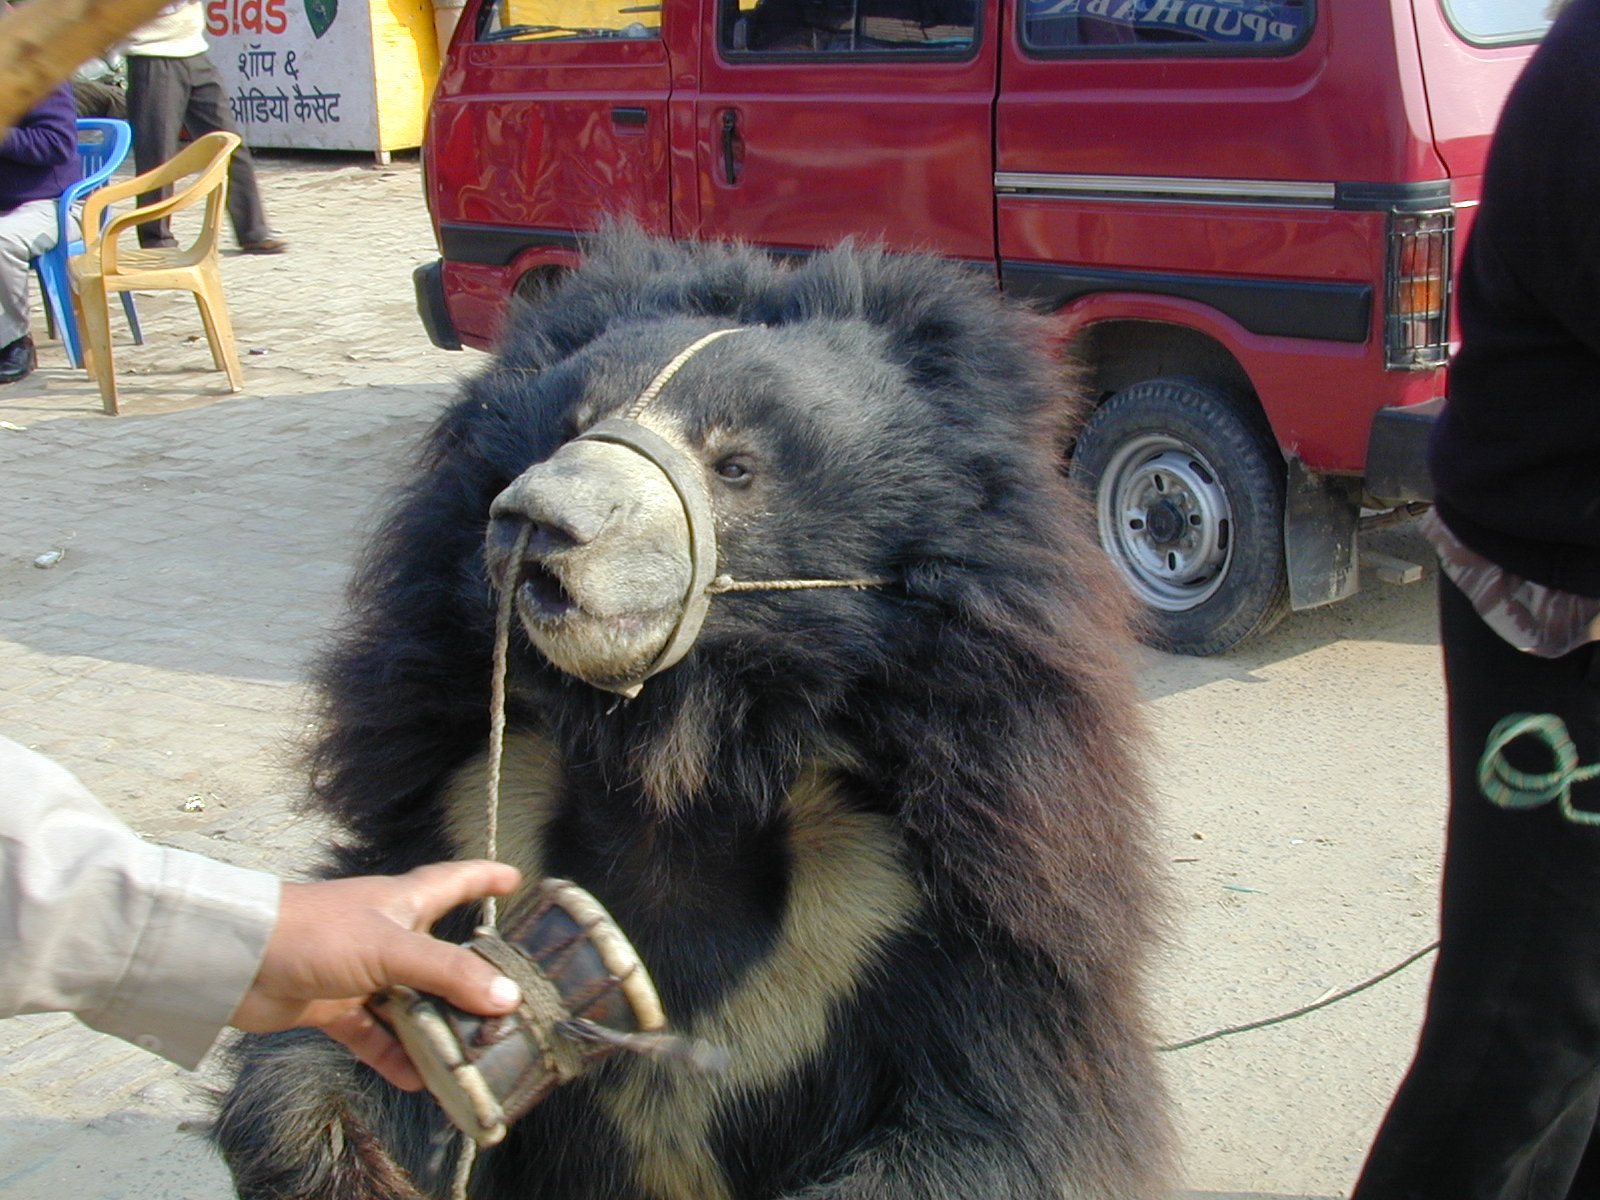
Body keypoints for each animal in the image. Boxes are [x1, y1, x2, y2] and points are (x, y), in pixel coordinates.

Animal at [213, 230, 1173, 1200]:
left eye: (735, 465)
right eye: (570, 425)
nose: (536, 520)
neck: (679, 754)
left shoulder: (937, 889)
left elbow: (997, 1123)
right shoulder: (454, 793)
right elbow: (332, 1039)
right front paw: (351, 1161)